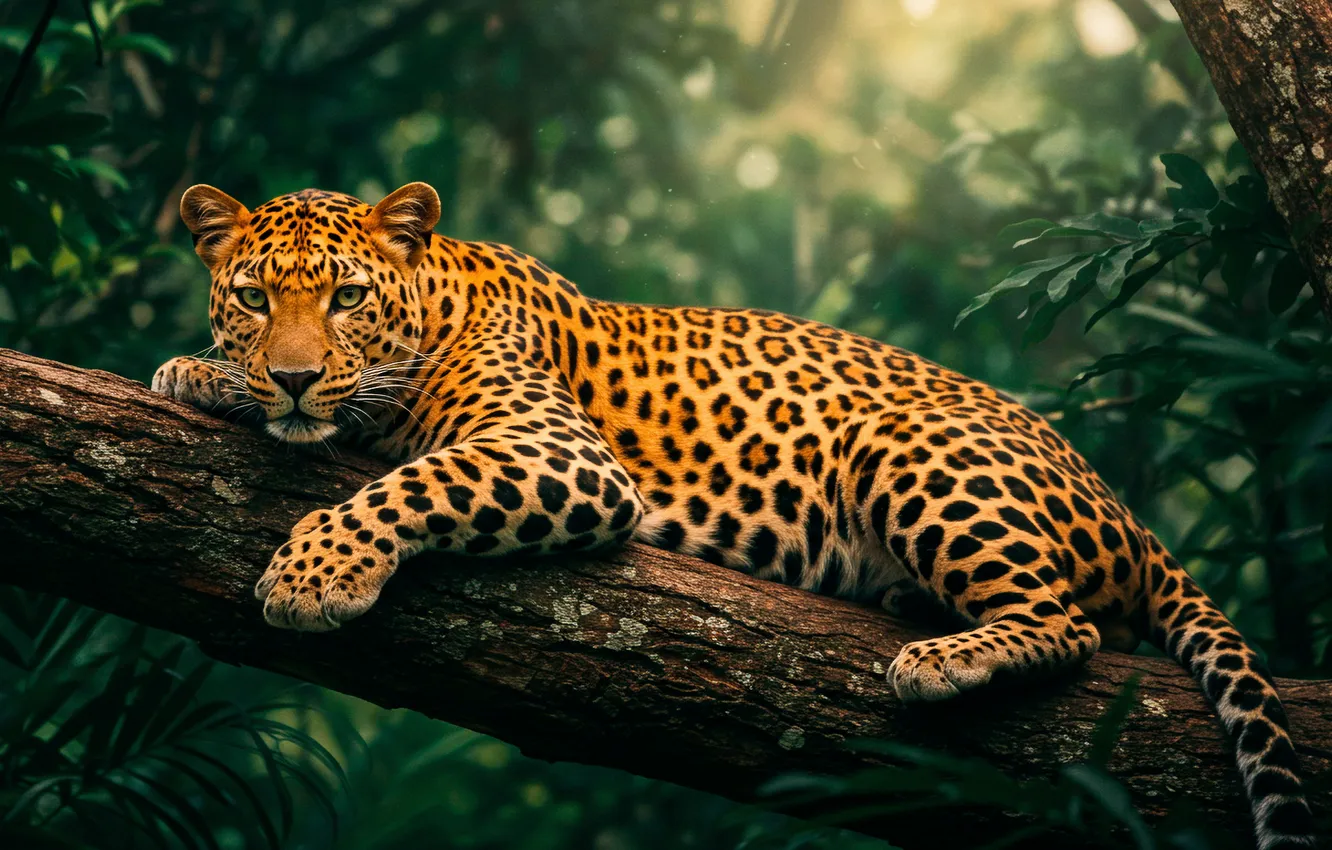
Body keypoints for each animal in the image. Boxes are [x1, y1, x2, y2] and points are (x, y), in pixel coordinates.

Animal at [152, 181, 1315, 849]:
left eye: (347, 297)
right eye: (254, 297)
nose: (294, 377)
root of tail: (1130, 514)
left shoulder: (561, 456)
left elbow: (403, 482)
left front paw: (313, 575)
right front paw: (200, 373)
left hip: (903, 438)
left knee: (1070, 622)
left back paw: (945, 658)